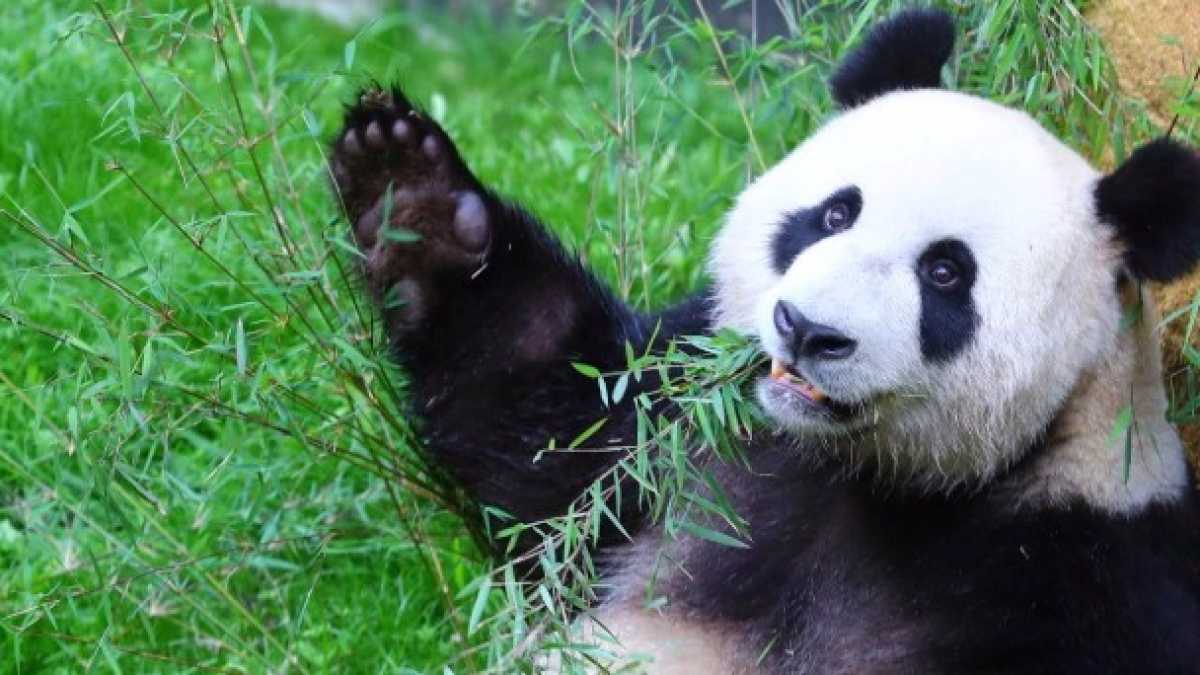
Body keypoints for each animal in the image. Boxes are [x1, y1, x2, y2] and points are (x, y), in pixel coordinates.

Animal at [329, 8, 1200, 674]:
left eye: (946, 273)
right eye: (834, 213)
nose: (809, 330)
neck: (864, 474)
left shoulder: (1077, 568)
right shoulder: (686, 434)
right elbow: (547, 436)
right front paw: (411, 193)